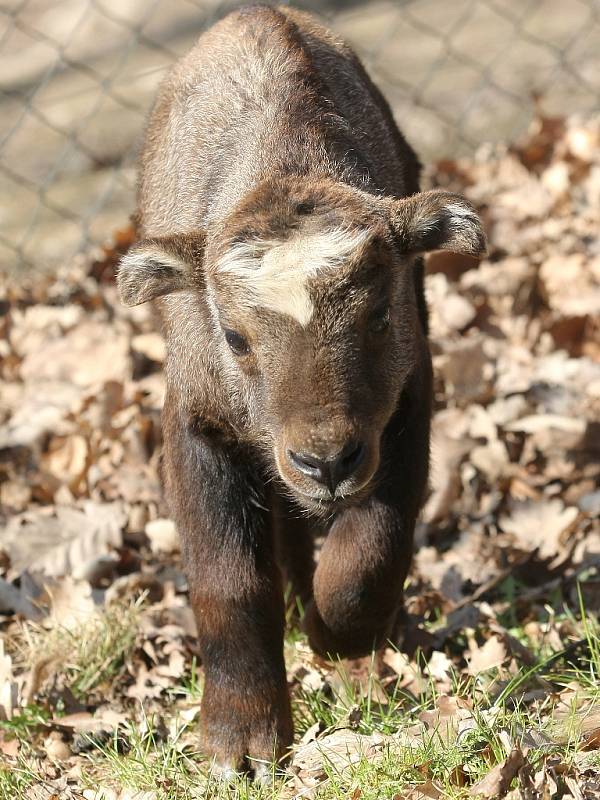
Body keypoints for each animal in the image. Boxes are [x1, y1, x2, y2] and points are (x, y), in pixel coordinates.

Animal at [116, 3, 482, 780]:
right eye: (233, 337)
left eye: (380, 315)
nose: (325, 462)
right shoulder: (196, 425)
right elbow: (228, 582)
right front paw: (240, 744)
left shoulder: (404, 406)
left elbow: (370, 551)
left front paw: (335, 641)